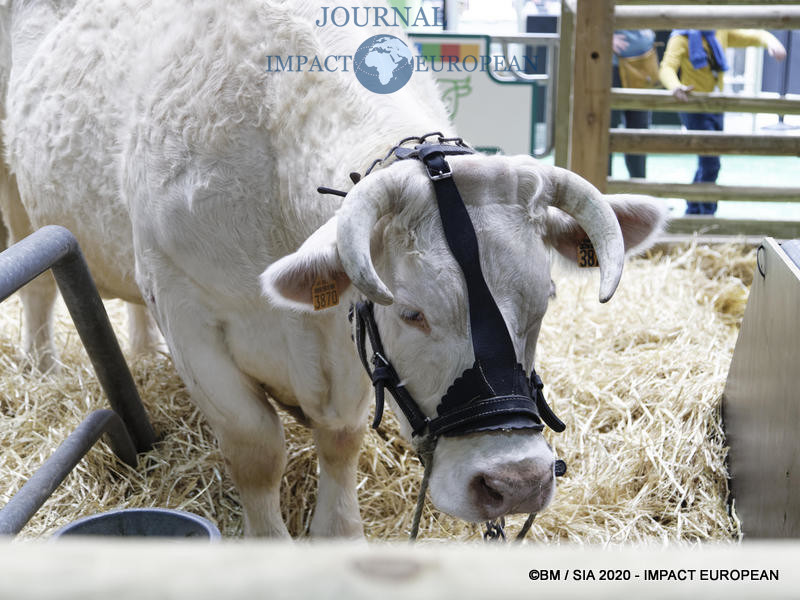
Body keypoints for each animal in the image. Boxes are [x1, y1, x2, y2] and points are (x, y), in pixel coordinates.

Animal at [1, 0, 668, 536]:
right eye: (412, 311)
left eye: (545, 300)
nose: (517, 481)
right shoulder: (187, 310)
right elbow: (255, 448)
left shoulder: (348, 344)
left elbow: (341, 437)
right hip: (20, 200)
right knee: (38, 290)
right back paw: (41, 366)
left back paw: (141, 354)